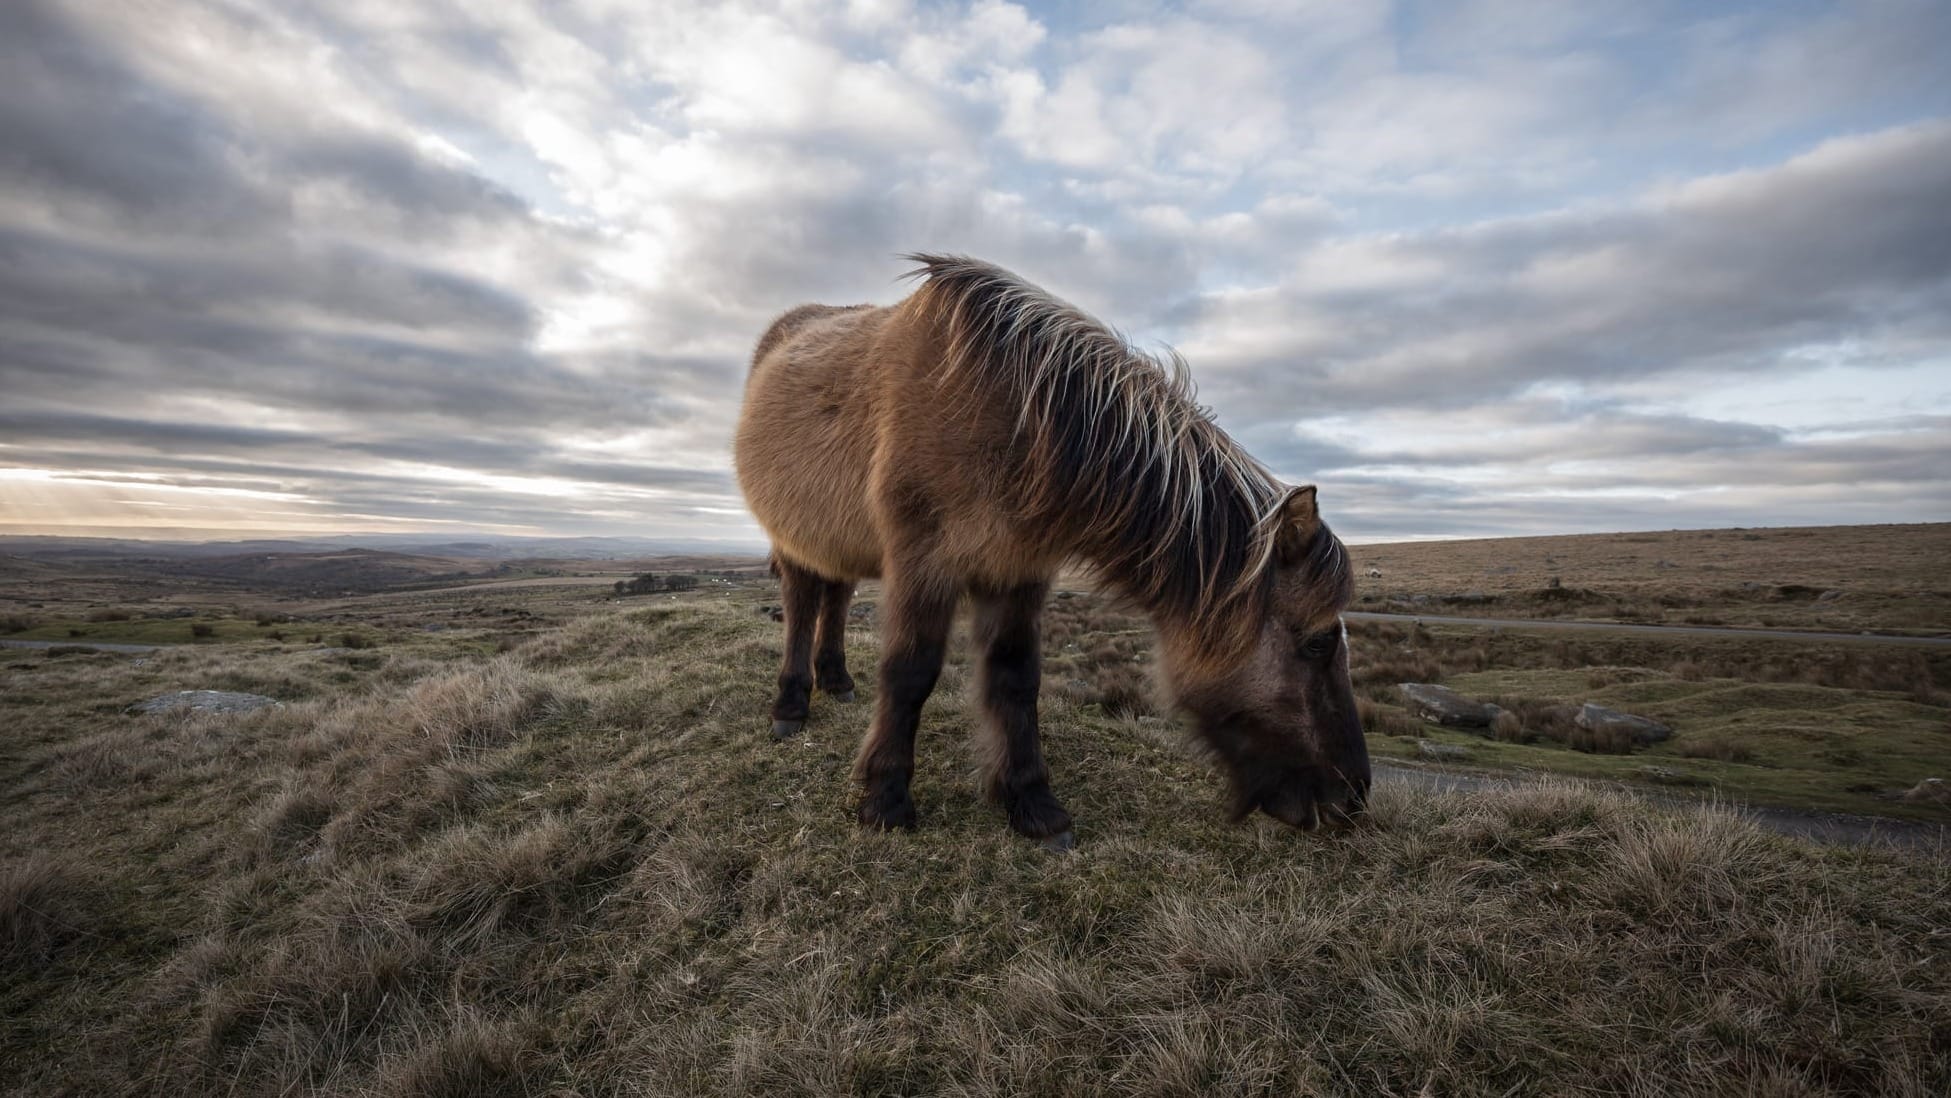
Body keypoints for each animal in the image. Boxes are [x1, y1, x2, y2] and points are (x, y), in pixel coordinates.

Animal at [734, 255, 1368, 847]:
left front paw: (1030, 801)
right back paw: (791, 705)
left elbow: (1016, 678)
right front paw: (885, 798)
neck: (1014, 415)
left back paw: (837, 681)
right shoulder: (923, 563)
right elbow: (910, 672)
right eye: (1316, 643)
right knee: (801, 607)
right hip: (793, 541)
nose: (1352, 799)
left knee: (835, 599)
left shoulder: (1018, 572)